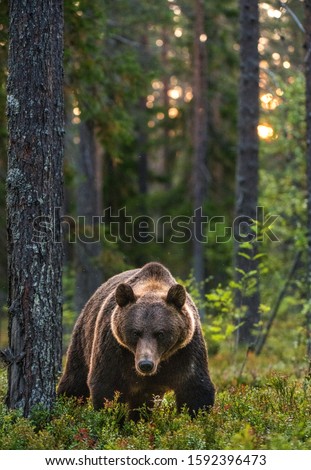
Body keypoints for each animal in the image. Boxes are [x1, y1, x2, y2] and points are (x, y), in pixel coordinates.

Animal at [58, 262, 214, 420]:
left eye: (160, 333)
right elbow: (107, 386)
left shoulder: (185, 350)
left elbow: (195, 389)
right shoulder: (114, 349)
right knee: (75, 380)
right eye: (135, 332)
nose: (145, 364)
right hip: (83, 338)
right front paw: (112, 418)